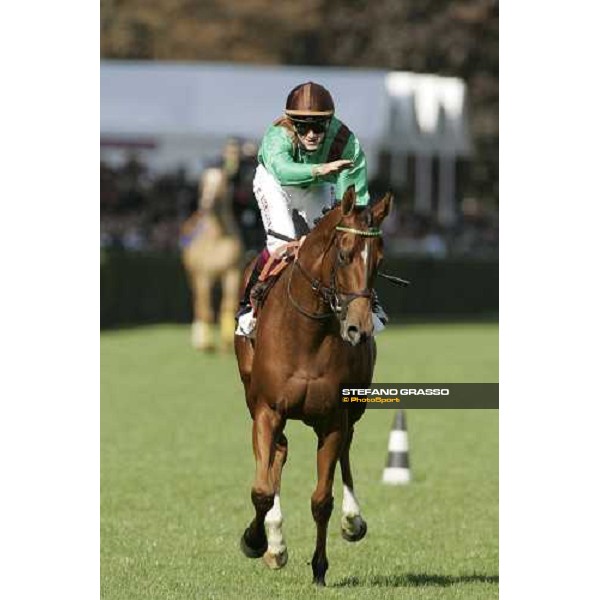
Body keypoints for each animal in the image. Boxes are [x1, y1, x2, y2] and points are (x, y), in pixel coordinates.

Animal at [180, 166, 241, 352]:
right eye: (203, 184)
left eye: (221, 183)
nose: (205, 204)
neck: (217, 237)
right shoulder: (203, 275)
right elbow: (205, 309)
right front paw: (206, 345)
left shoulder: (232, 272)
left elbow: (228, 305)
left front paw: (227, 342)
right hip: (193, 276)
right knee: (199, 305)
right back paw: (200, 340)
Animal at [234, 185, 394, 584]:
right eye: (344, 253)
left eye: (379, 261)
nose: (358, 329)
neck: (307, 333)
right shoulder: (268, 409)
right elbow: (262, 489)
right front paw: (257, 540)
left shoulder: (334, 417)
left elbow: (322, 499)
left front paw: (320, 566)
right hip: (253, 397)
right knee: (277, 453)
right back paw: (274, 543)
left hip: (356, 407)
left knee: (346, 451)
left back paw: (353, 520)